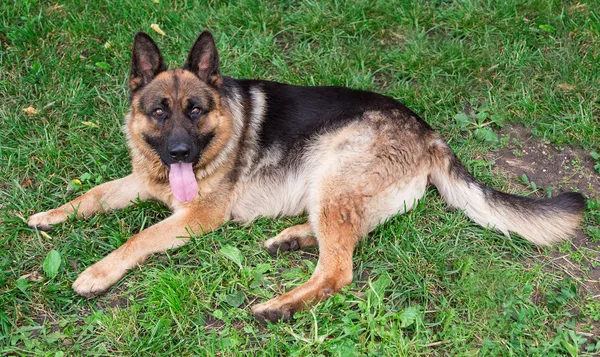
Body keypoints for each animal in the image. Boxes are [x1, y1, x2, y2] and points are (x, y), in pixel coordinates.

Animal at [29, 30, 584, 322]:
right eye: (160, 112)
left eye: (196, 110)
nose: (181, 151)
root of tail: (427, 130)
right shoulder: (142, 181)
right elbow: (94, 194)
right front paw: (50, 214)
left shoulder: (198, 216)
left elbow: (139, 238)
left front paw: (97, 273)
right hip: (334, 189)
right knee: (350, 237)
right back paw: (293, 238)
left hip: (330, 174)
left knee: (338, 271)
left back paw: (279, 306)